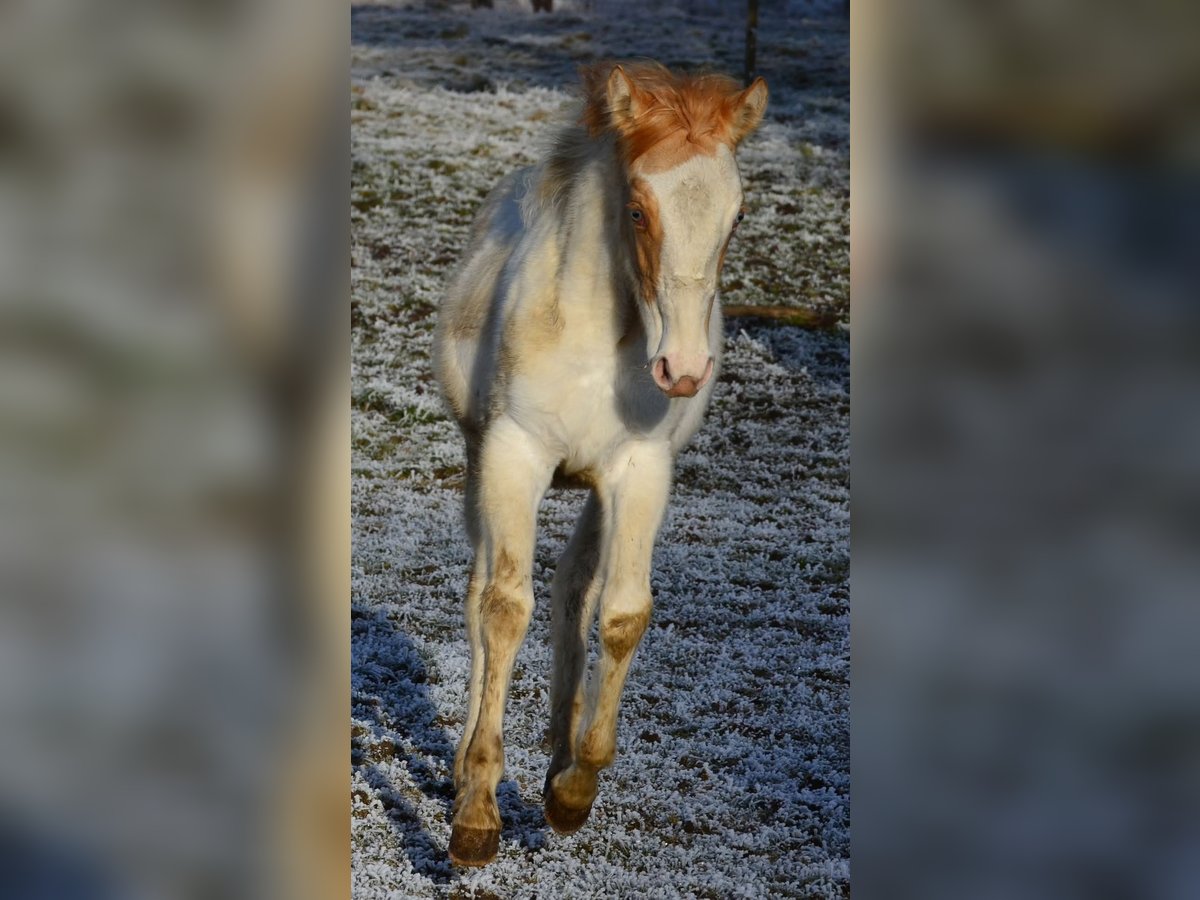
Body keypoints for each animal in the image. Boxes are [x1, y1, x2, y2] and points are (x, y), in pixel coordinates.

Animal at [434, 61, 768, 868]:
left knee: (574, 592)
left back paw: (558, 754)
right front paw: (477, 813)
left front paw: (572, 790)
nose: (683, 369)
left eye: (737, 218)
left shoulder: (640, 470)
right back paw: (464, 771)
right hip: (480, 458)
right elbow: (502, 608)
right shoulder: (514, 454)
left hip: (588, 487)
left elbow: (619, 612)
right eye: (639, 212)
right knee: (481, 591)